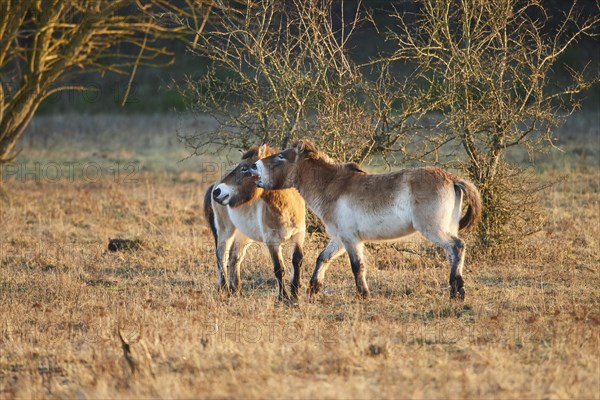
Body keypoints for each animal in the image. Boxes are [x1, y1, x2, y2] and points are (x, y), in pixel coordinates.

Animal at [205, 145, 308, 300]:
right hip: (226, 230)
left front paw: (295, 296)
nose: (218, 192)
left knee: (235, 258)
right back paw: (225, 290)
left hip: (243, 235)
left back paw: (236, 291)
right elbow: (279, 269)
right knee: (221, 256)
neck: (286, 206)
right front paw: (283, 298)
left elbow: (297, 262)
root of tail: (214, 183)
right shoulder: (272, 240)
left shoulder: (299, 236)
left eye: (245, 168)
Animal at [248, 141, 482, 300]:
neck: (332, 186)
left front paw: (364, 294)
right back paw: (454, 288)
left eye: (281, 157)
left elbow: (357, 266)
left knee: (457, 247)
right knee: (452, 253)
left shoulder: (350, 239)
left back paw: (458, 290)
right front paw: (313, 289)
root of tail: (452, 179)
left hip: (434, 229)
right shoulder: (340, 238)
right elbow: (323, 258)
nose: (253, 167)